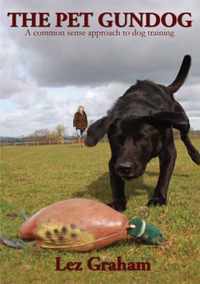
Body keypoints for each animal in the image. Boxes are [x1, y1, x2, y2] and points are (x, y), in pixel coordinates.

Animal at [85, 55, 200, 211]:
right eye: (117, 140)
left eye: (142, 138)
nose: (124, 167)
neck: (135, 107)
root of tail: (165, 87)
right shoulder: (115, 159)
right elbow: (116, 183)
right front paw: (118, 202)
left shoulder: (168, 151)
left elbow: (164, 176)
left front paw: (158, 198)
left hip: (182, 119)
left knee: (185, 136)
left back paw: (196, 155)